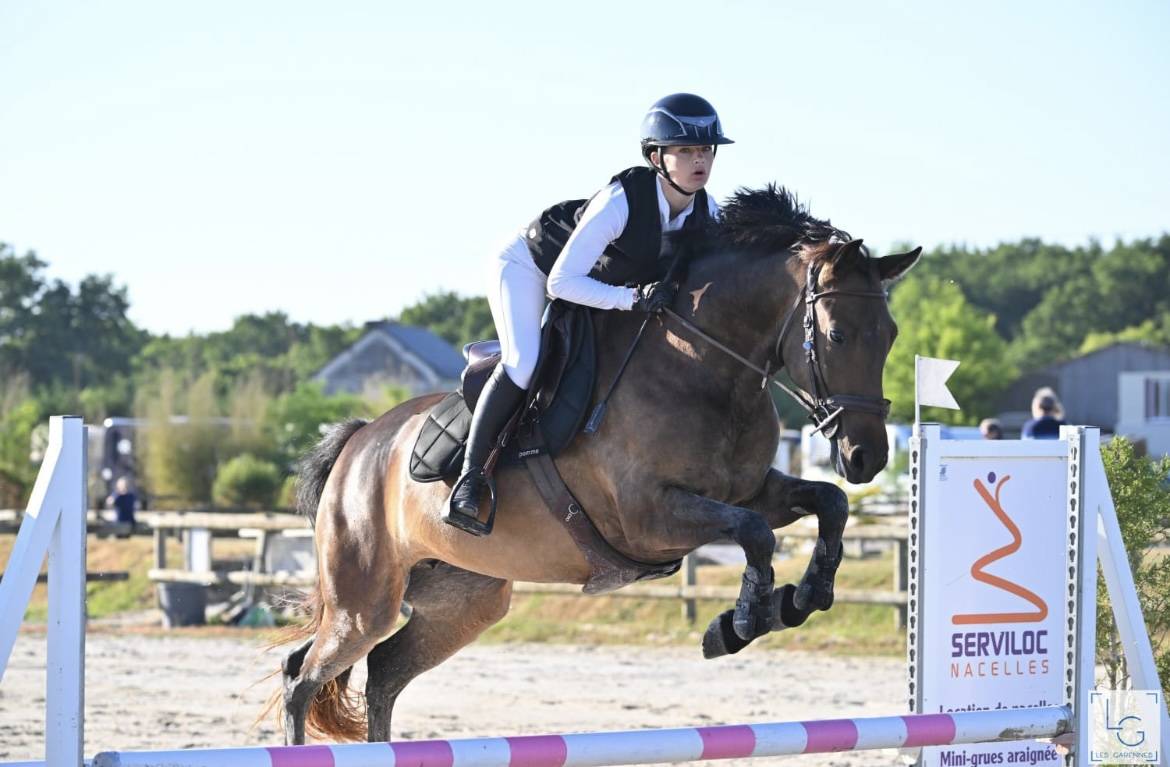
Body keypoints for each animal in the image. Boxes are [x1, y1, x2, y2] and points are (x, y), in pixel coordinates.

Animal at [274, 185, 921, 744]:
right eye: (837, 335)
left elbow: (827, 503)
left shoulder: (751, 490)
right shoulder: (647, 520)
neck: (706, 367)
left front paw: (803, 596)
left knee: (383, 673)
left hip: (465, 599)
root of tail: (358, 443)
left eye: (891, 333)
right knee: (301, 678)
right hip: (364, 600)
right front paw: (741, 622)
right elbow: (756, 534)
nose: (867, 456)